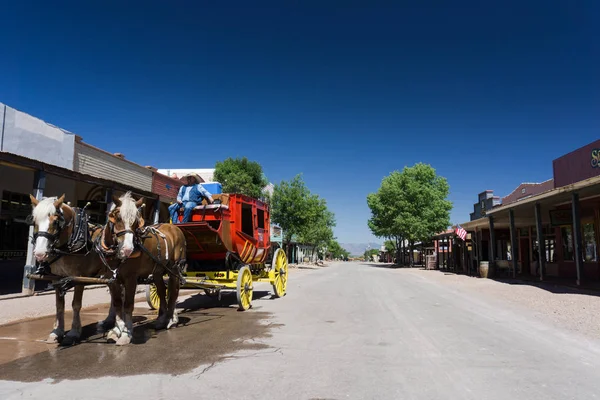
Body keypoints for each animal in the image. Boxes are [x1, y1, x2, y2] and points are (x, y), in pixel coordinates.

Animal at [29, 194, 120, 344]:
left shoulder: (79, 278)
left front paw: (74, 332)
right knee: (114, 295)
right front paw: (57, 331)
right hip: (108, 275)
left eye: (55, 222)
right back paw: (108, 320)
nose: (40, 254)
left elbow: (76, 304)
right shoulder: (56, 278)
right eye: (35, 220)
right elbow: (59, 305)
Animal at [97, 192, 186, 346]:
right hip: (157, 271)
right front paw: (116, 331)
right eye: (118, 218)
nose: (127, 249)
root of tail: (174, 227)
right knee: (162, 291)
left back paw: (171, 319)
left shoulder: (131, 278)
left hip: (174, 269)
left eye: (135, 222)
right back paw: (161, 320)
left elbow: (128, 305)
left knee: (173, 291)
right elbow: (117, 304)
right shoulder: (112, 280)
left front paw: (126, 334)